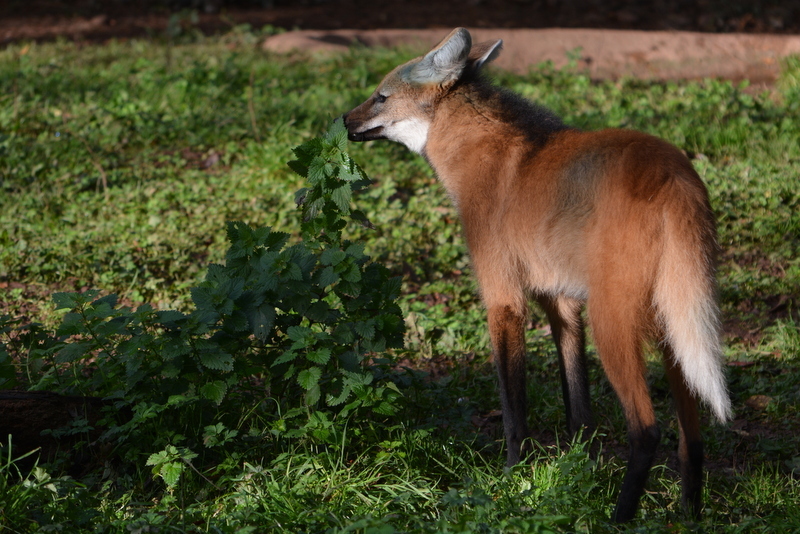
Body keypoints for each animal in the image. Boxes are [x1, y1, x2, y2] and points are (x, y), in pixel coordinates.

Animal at [340, 28, 728, 524]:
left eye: (380, 96)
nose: (343, 119)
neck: (481, 155)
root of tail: (673, 171)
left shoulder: (504, 301)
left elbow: (513, 410)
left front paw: (510, 477)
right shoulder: (560, 304)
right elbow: (578, 408)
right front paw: (579, 473)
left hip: (614, 325)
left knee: (647, 430)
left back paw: (619, 517)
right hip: (669, 323)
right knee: (691, 434)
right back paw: (688, 513)